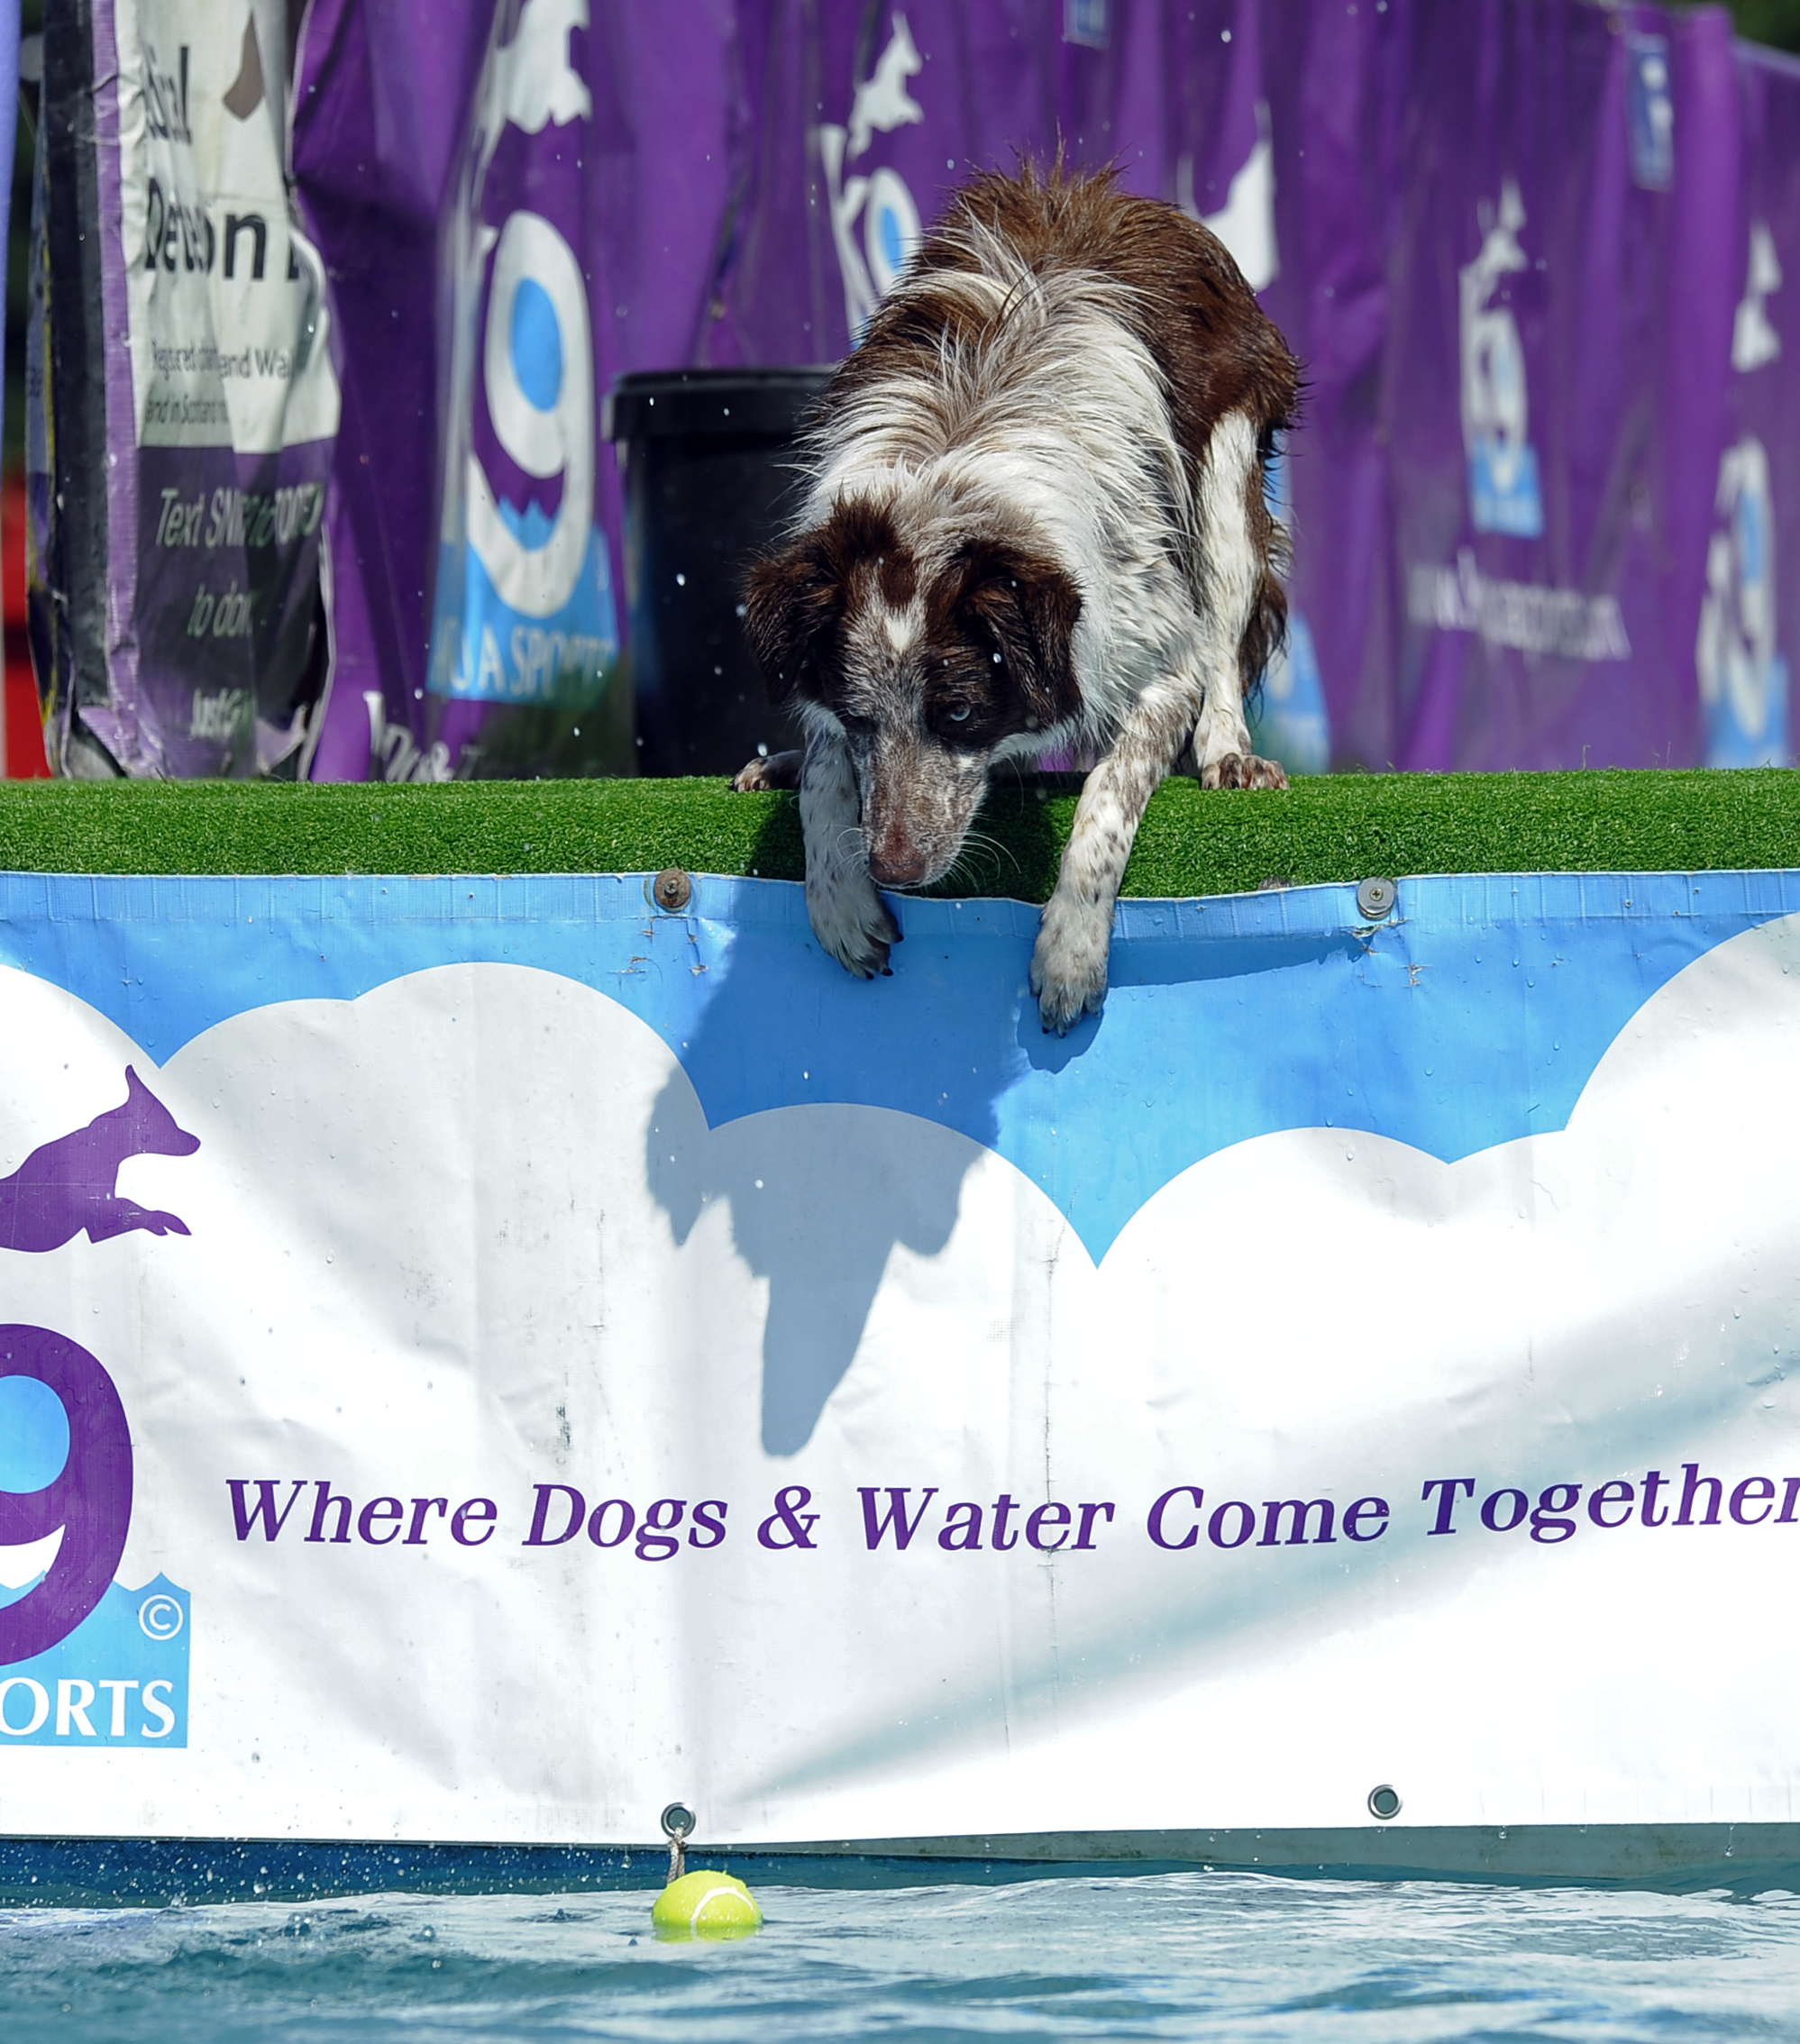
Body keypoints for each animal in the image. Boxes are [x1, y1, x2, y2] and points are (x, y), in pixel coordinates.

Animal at [733, 162, 1301, 1032]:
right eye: (862, 717)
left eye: (961, 712)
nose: (894, 869)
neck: (946, 484)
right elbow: (830, 770)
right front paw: (837, 896)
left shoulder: (1153, 653)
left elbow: (1107, 795)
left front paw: (1070, 950)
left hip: (1226, 473)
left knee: (1223, 638)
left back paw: (1228, 753)